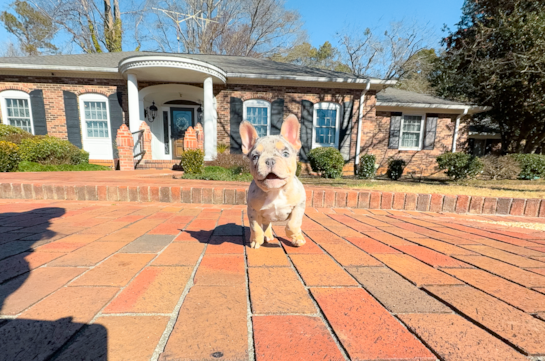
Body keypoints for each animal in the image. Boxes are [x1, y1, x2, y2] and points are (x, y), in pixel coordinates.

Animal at [239, 114, 304, 248]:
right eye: (255, 156)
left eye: (285, 154)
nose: (269, 160)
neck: (275, 191)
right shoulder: (253, 211)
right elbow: (255, 227)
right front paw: (256, 241)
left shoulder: (299, 205)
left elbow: (292, 224)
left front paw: (296, 238)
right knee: (266, 225)